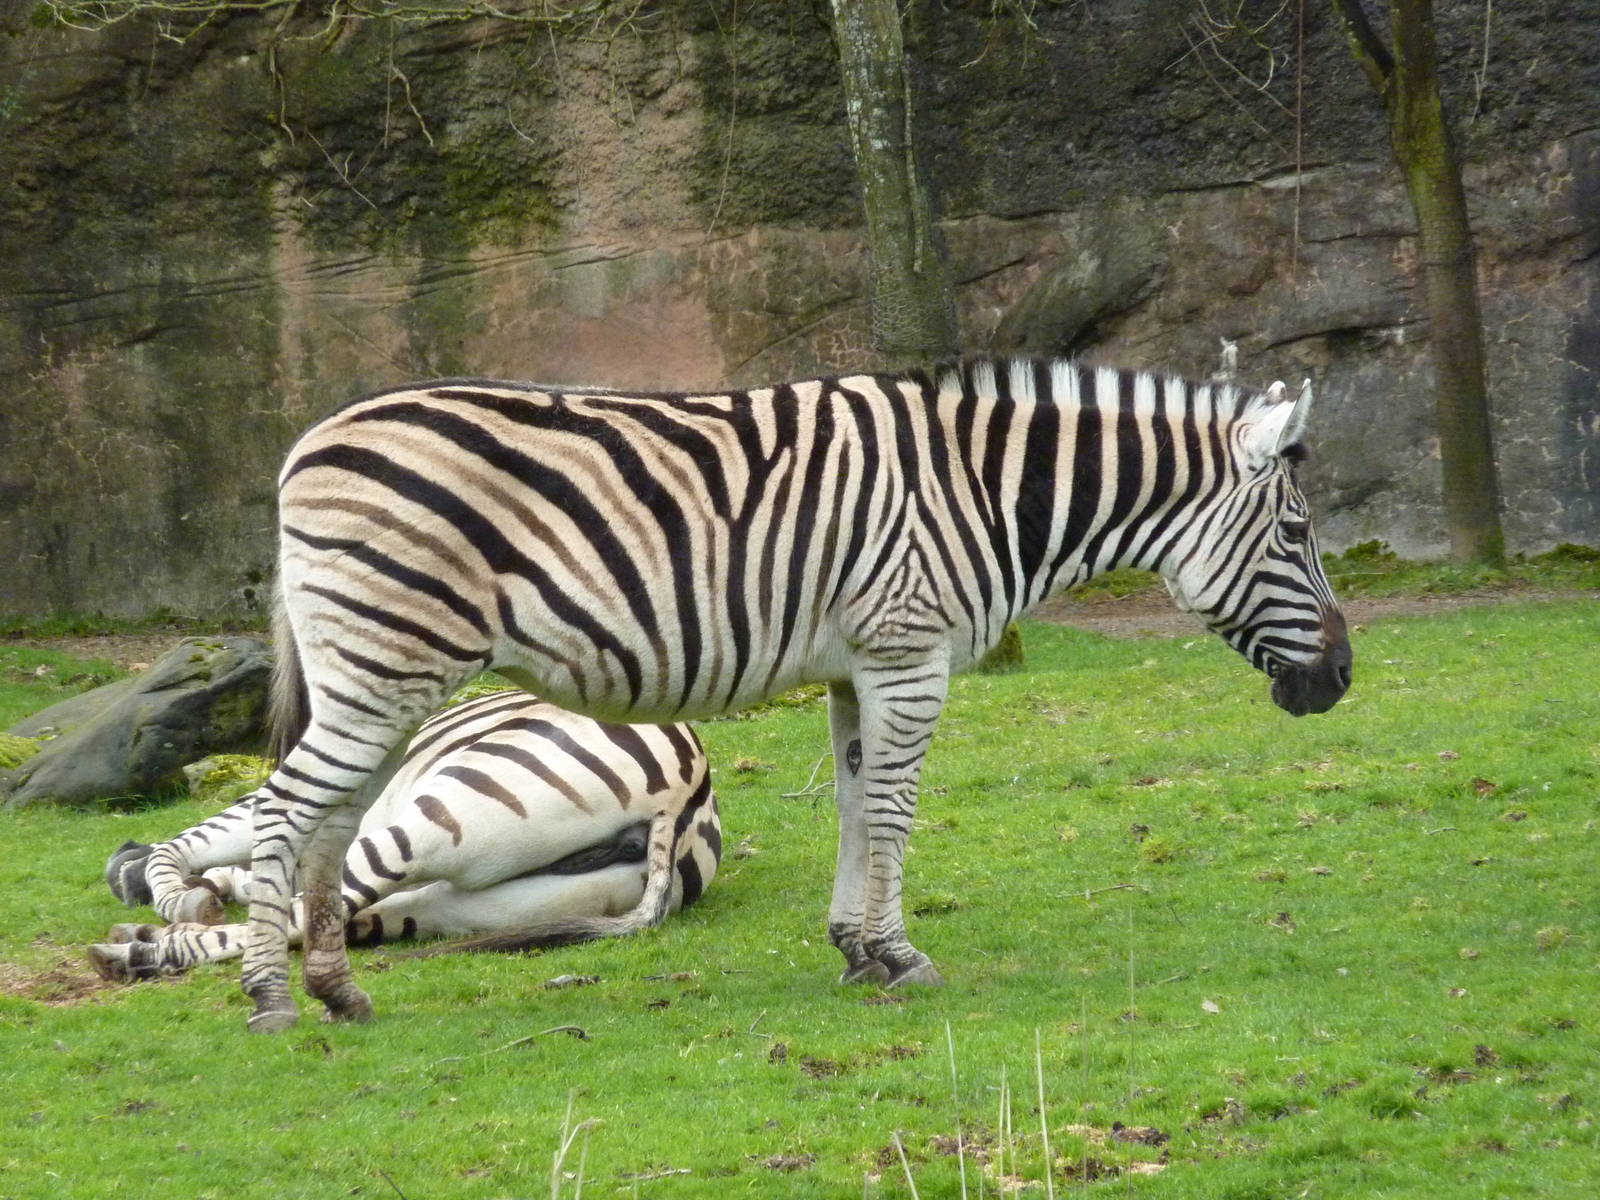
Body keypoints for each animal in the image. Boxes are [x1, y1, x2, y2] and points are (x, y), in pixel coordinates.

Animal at [86, 692, 720, 982]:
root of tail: (681, 797)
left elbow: (189, 847)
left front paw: (168, 893)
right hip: (491, 902)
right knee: (348, 914)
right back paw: (146, 947)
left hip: (441, 818)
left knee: (315, 906)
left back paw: (141, 951)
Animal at [238, 355, 1350, 1032]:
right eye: (1297, 533)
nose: (1340, 678)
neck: (983, 494)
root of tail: (300, 444)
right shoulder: (908, 655)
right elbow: (895, 811)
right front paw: (899, 956)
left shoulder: (861, 667)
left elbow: (859, 805)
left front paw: (856, 949)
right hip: (385, 665)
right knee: (286, 813)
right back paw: (268, 997)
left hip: (384, 676)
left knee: (331, 819)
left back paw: (337, 991)